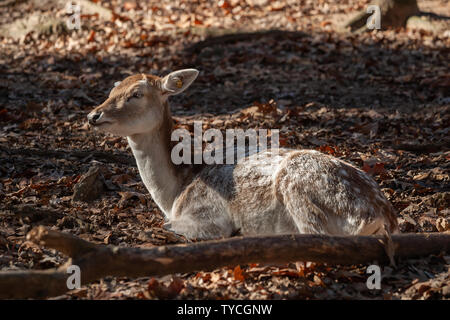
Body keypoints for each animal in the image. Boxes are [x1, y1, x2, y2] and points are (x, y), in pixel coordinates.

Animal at [87, 70, 398, 240]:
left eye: (136, 94)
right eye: (112, 89)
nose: (93, 115)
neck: (174, 193)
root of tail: (381, 216)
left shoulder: (207, 219)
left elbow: (172, 226)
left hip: (300, 187)